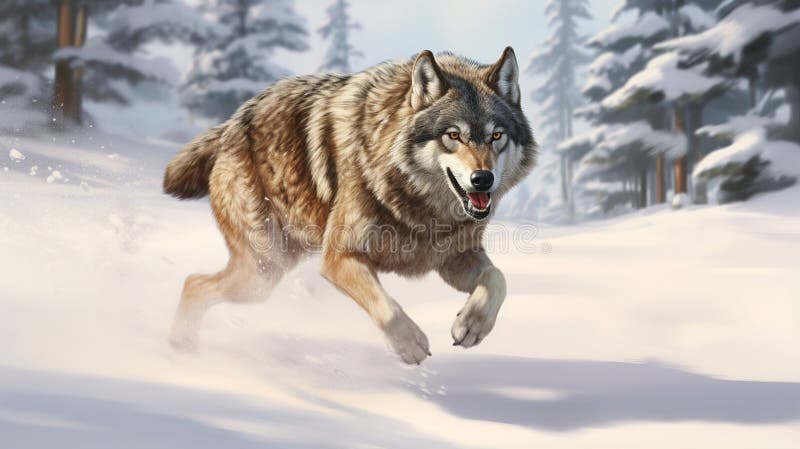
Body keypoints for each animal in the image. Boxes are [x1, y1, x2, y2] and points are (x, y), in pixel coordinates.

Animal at [163, 47, 536, 364]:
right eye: (453, 135)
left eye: (497, 136)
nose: (483, 179)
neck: (419, 205)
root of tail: (230, 124)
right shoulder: (339, 257)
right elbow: (387, 306)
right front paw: (410, 343)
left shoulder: (452, 257)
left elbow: (498, 279)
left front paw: (472, 325)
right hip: (261, 272)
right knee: (193, 283)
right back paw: (181, 353)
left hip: (265, 274)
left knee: (193, 283)